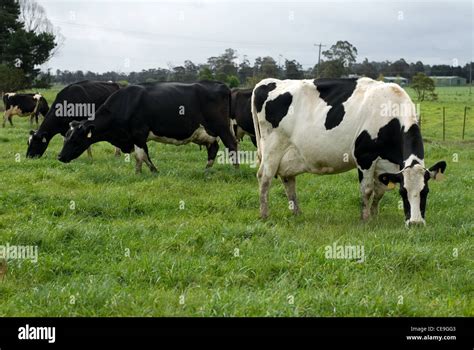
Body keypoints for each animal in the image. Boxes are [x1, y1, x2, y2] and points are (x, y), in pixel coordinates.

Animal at [57, 79, 239, 172]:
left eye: (75, 140)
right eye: (65, 138)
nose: (60, 156)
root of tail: (222, 85)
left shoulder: (139, 134)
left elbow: (143, 155)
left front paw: (153, 171)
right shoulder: (133, 137)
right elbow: (139, 157)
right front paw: (137, 173)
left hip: (222, 127)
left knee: (232, 145)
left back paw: (235, 169)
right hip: (209, 132)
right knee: (213, 148)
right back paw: (206, 170)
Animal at [254, 76, 446, 226]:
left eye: (425, 192)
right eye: (403, 192)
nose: (416, 223)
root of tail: (267, 82)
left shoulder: (386, 166)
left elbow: (380, 191)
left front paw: (375, 215)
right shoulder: (364, 157)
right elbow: (367, 190)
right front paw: (365, 219)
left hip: (289, 155)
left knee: (288, 180)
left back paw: (297, 213)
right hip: (272, 149)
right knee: (264, 178)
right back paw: (264, 215)